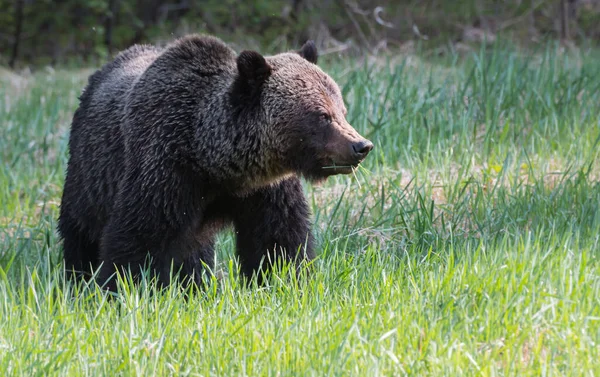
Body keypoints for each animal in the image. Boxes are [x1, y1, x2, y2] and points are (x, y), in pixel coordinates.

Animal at [58, 34, 372, 288]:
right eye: (322, 115)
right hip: (90, 171)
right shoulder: (164, 169)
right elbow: (137, 239)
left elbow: (278, 241)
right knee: (80, 229)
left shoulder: (267, 190)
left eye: (342, 110)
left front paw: (285, 281)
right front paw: (121, 289)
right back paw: (78, 278)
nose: (361, 145)